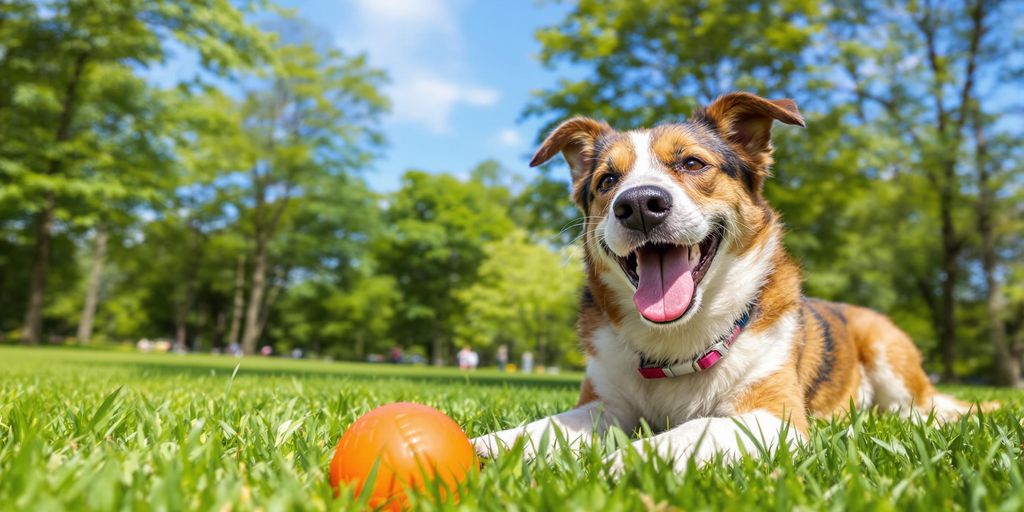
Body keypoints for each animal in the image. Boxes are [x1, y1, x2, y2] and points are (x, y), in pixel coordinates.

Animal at [471, 91, 991, 471]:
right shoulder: (606, 405)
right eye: (606, 180)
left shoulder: (773, 416)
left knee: (922, 408)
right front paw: (490, 446)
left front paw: (625, 462)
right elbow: (551, 427)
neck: (676, 345)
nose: (637, 204)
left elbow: (689, 431)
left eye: (692, 164)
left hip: (889, 356)